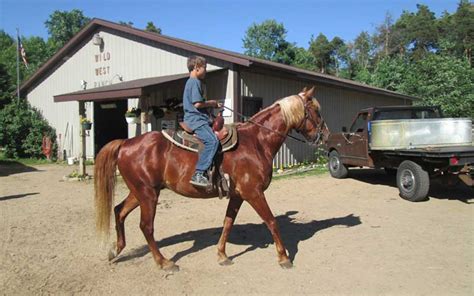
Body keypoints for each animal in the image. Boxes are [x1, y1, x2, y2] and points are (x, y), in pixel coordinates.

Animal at [93, 86, 330, 270]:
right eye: (316, 110)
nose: (325, 135)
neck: (256, 142)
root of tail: (125, 143)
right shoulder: (253, 192)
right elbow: (271, 221)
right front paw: (283, 257)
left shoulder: (238, 195)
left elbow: (228, 223)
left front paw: (222, 255)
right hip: (148, 194)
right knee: (146, 226)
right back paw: (164, 262)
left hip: (140, 191)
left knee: (119, 211)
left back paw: (115, 250)